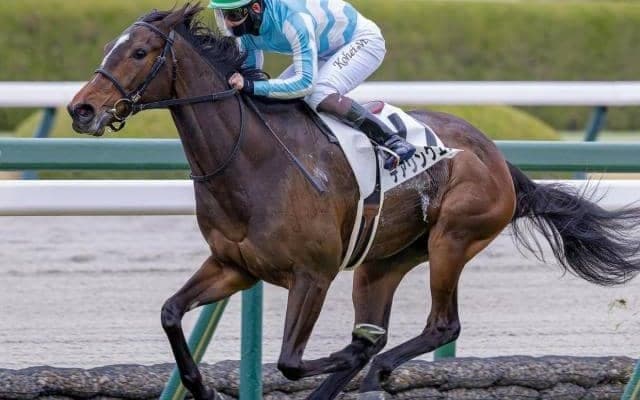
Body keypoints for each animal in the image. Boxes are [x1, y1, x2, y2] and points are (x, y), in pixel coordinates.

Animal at [67, 4, 640, 399]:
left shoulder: (312, 275)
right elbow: (170, 312)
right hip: (381, 263)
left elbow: (291, 361)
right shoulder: (234, 266)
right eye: (110, 46)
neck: (251, 162)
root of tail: (497, 157)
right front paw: (203, 386)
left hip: (453, 238)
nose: (82, 109)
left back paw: (376, 367)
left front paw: (344, 355)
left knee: (439, 325)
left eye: (139, 52)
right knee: (382, 328)